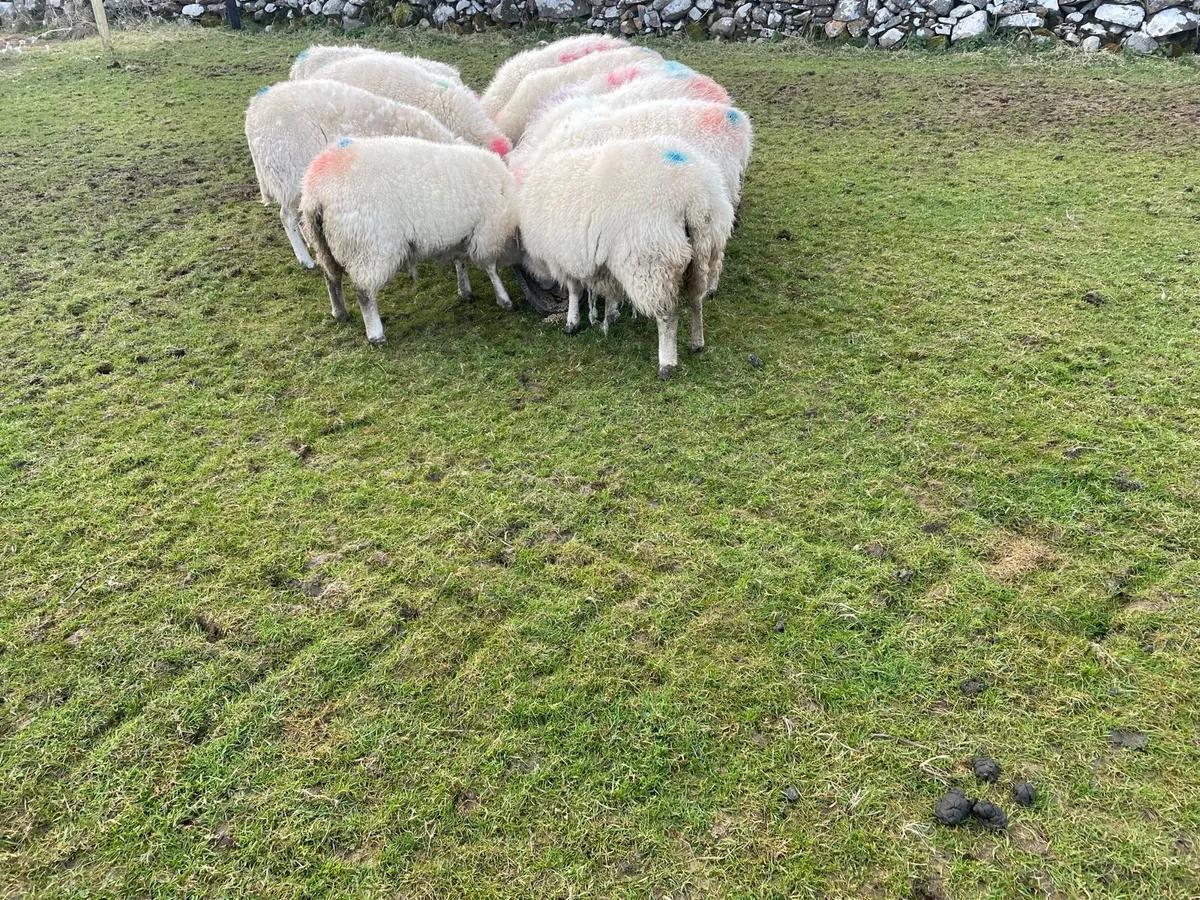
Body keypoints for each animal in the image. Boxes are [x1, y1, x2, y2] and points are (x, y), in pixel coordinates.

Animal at [300, 136, 520, 344]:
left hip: (323, 244)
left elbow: (461, 262)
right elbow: (491, 268)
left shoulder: (462, 234)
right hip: (369, 246)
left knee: (331, 278)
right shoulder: (487, 232)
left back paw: (340, 312)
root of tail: (317, 191)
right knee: (364, 292)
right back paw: (376, 334)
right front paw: (504, 299)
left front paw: (465, 290)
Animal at [518, 137, 734, 379]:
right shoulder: (603, 261)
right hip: (704, 251)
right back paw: (697, 341)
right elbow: (610, 291)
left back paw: (667, 363)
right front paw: (610, 315)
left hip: (652, 261)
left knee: (668, 316)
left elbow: (574, 290)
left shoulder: (566, 257)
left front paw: (572, 322)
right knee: (697, 300)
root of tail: (693, 196)